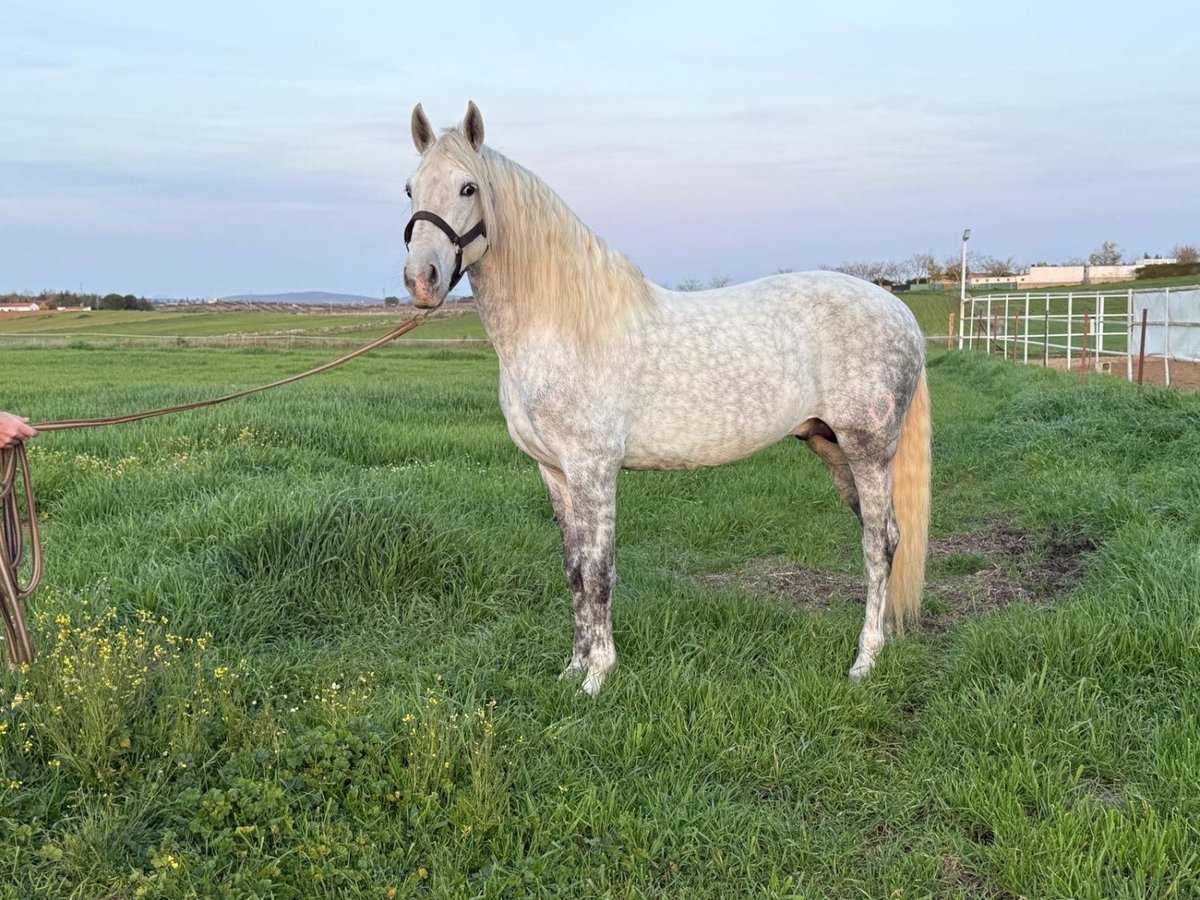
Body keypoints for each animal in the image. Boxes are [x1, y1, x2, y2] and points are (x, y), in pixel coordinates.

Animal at [400, 103, 926, 696]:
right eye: (410, 188)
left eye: (468, 187)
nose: (421, 280)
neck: (562, 324)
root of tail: (900, 312)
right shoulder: (554, 472)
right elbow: (574, 570)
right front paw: (572, 669)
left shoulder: (593, 469)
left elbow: (599, 571)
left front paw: (598, 677)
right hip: (830, 446)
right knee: (880, 535)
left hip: (869, 451)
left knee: (879, 545)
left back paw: (866, 660)